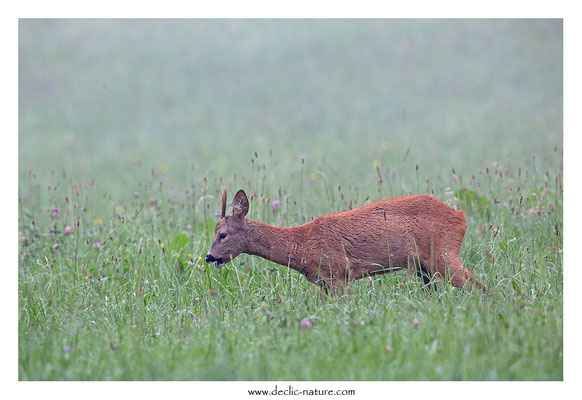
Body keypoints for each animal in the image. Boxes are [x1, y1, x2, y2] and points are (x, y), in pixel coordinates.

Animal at [205, 188, 488, 294]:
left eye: (222, 234)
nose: (209, 257)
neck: (302, 244)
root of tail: (460, 216)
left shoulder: (339, 274)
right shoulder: (323, 283)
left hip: (443, 254)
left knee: (481, 288)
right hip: (423, 268)